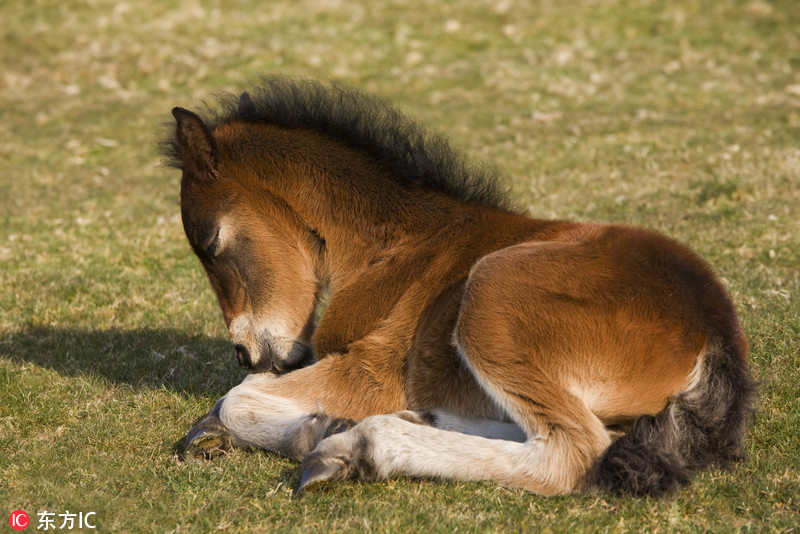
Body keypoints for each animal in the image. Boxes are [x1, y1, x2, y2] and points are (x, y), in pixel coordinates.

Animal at [162, 76, 756, 498]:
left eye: (211, 243)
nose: (245, 351)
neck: (398, 241)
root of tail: (712, 326)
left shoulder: (374, 369)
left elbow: (238, 399)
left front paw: (314, 426)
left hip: (492, 294)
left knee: (573, 450)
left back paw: (359, 444)